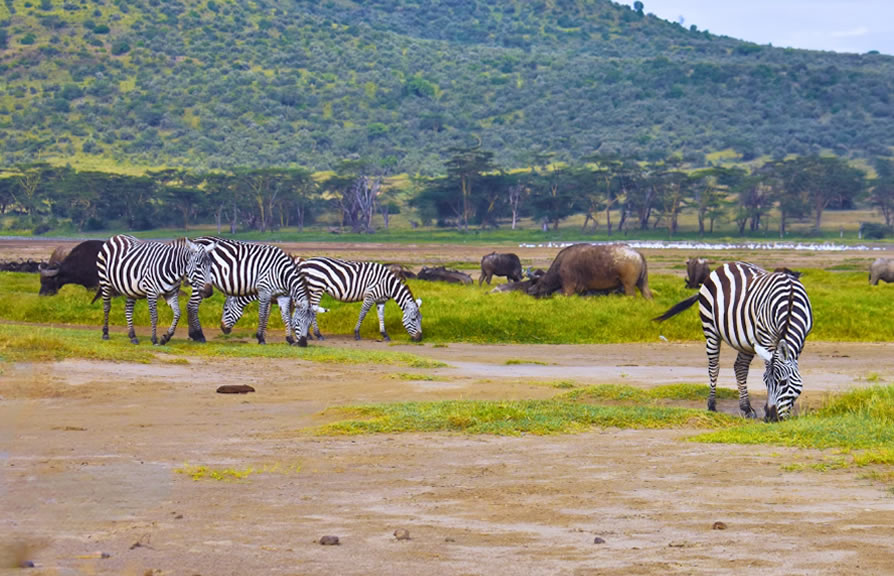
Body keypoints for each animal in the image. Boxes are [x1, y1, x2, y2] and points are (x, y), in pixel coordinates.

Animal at [528, 243, 656, 300]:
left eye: (538, 282)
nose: (530, 291)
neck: (560, 264)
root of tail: (638, 253)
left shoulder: (568, 288)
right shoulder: (583, 291)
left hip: (628, 285)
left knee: (632, 296)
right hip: (643, 283)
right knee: (648, 295)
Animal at [656, 264, 816, 420]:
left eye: (783, 382)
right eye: (765, 382)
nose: (771, 418)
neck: (790, 301)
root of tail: (723, 266)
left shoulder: (802, 339)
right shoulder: (766, 337)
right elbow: (768, 365)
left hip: (746, 340)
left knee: (740, 368)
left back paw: (746, 409)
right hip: (710, 328)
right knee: (714, 367)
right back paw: (712, 405)